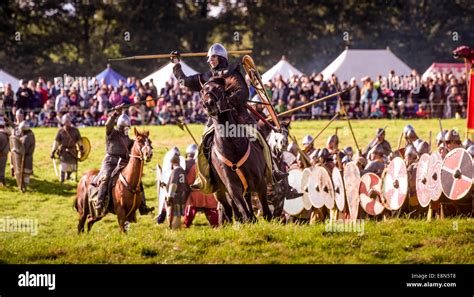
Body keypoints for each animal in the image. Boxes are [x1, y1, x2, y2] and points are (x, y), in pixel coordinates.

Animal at [201, 76, 272, 222]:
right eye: (202, 91)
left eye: (219, 89)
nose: (209, 104)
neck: (233, 148)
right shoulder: (232, 187)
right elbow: (242, 208)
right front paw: (247, 219)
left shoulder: (260, 183)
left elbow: (265, 209)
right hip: (220, 191)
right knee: (228, 207)